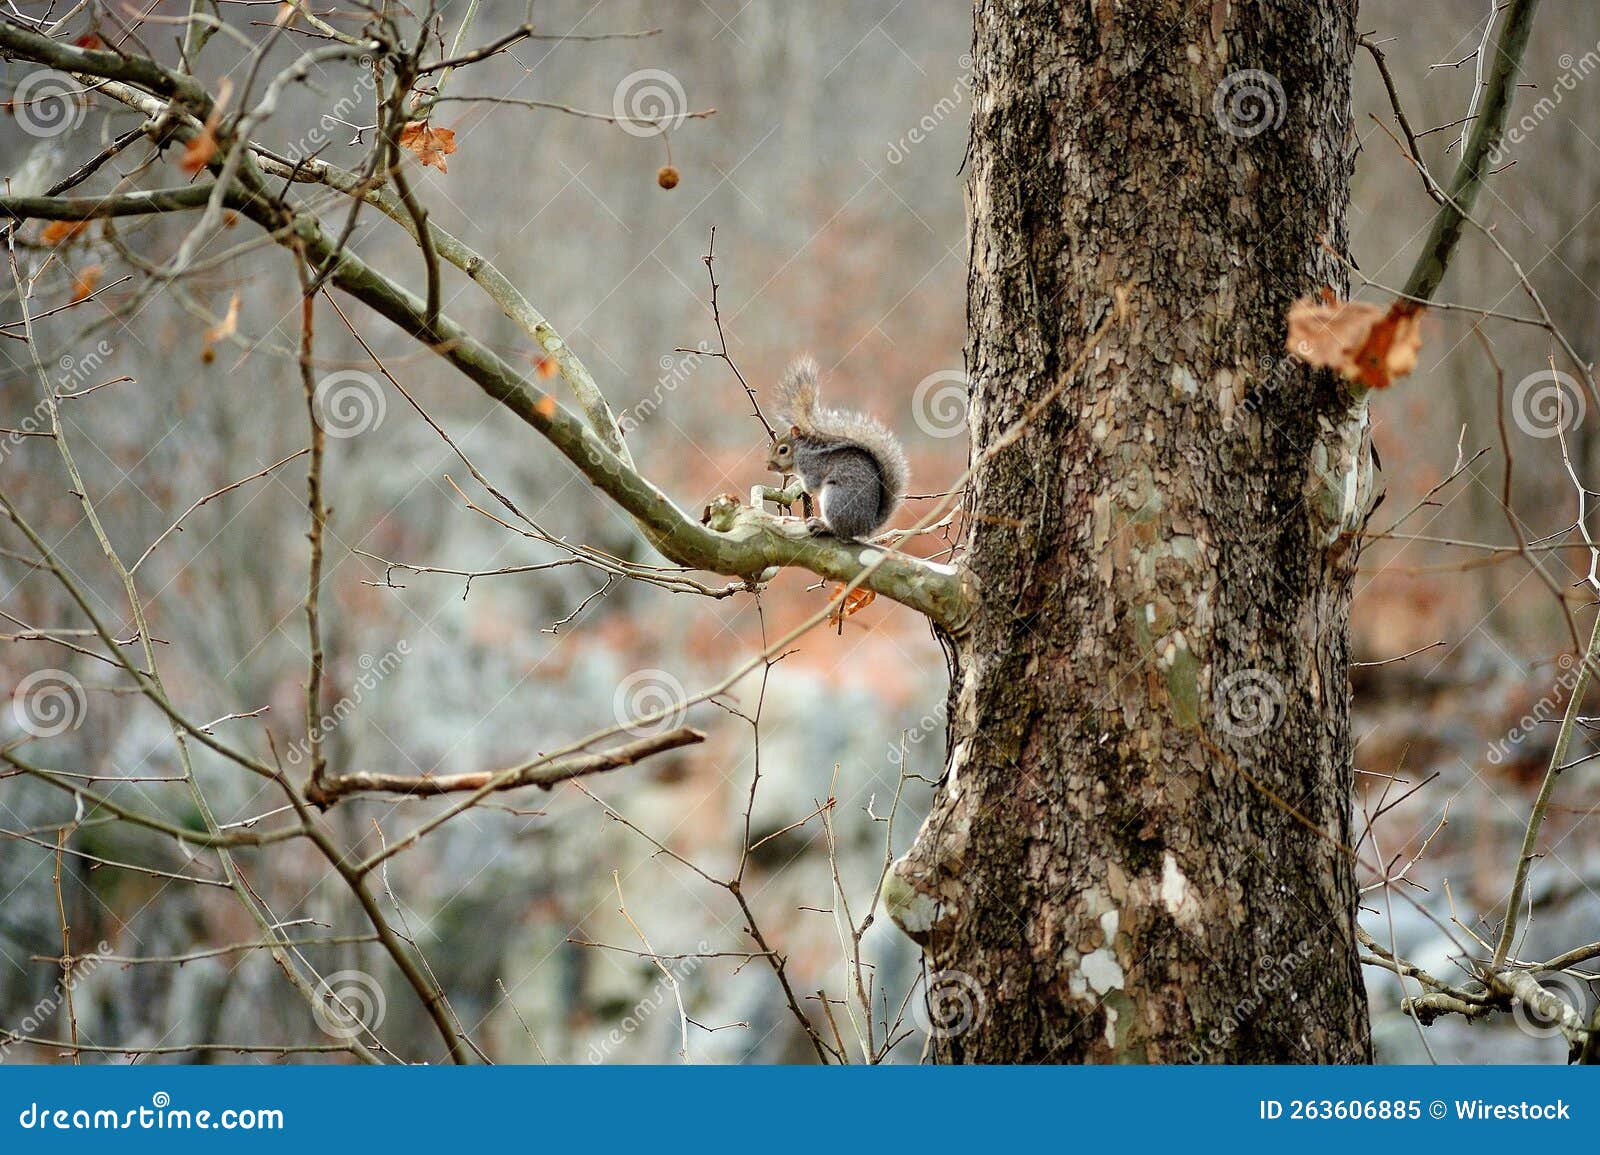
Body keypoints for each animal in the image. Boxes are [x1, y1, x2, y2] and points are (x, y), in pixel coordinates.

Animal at [766, 356, 909, 541]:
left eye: (783, 450)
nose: (768, 466)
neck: (800, 453)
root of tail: (865, 527)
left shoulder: (813, 467)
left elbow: (811, 485)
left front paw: (801, 485)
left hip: (835, 498)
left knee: (839, 530)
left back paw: (823, 526)